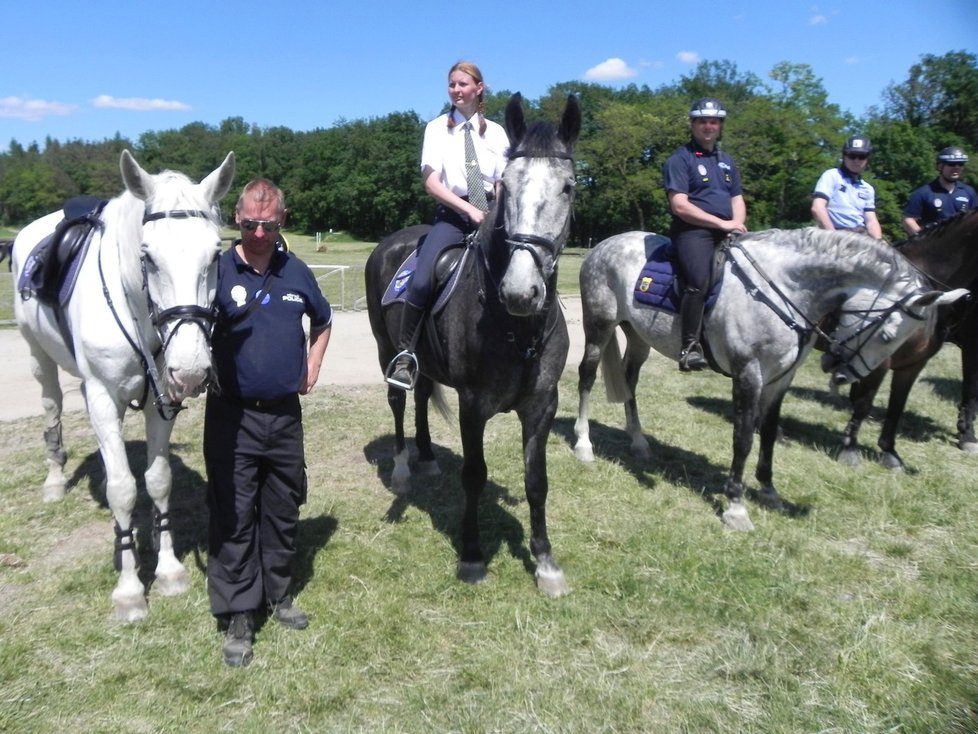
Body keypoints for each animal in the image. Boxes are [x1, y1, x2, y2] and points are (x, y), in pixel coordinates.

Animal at [12, 152, 235, 624]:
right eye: (147, 257)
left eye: (215, 255)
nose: (192, 370)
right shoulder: (101, 398)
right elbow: (122, 489)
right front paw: (130, 590)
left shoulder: (162, 401)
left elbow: (159, 480)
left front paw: (168, 570)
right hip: (39, 356)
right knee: (52, 407)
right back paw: (54, 480)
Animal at [366, 93, 580, 600]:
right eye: (509, 186)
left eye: (567, 187)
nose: (521, 292)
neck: (517, 328)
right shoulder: (472, 404)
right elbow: (474, 474)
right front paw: (471, 555)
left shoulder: (542, 404)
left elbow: (537, 480)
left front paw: (546, 563)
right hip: (387, 350)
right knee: (399, 403)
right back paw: (403, 470)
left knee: (423, 396)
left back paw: (426, 458)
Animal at [576, 227, 964, 532]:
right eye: (887, 335)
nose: (841, 373)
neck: (784, 290)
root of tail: (604, 244)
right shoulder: (749, 373)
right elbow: (743, 438)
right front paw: (735, 506)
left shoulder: (781, 378)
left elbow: (769, 433)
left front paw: (768, 490)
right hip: (599, 327)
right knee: (586, 378)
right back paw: (584, 444)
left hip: (638, 336)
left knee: (630, 380)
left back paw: (639, 442)